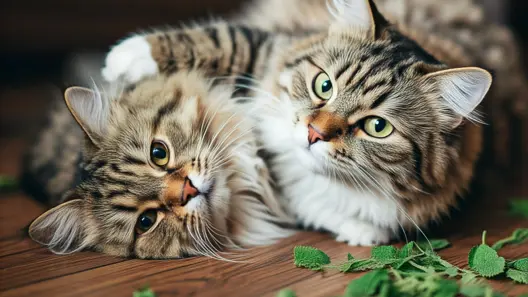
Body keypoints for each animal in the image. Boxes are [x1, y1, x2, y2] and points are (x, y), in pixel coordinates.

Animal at [102, 0, 490, 244]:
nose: (313, 132)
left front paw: (362, 232)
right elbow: (222, 40)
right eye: (324, 85)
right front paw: (125, 58)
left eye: (377, 127)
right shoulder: (265, 51)